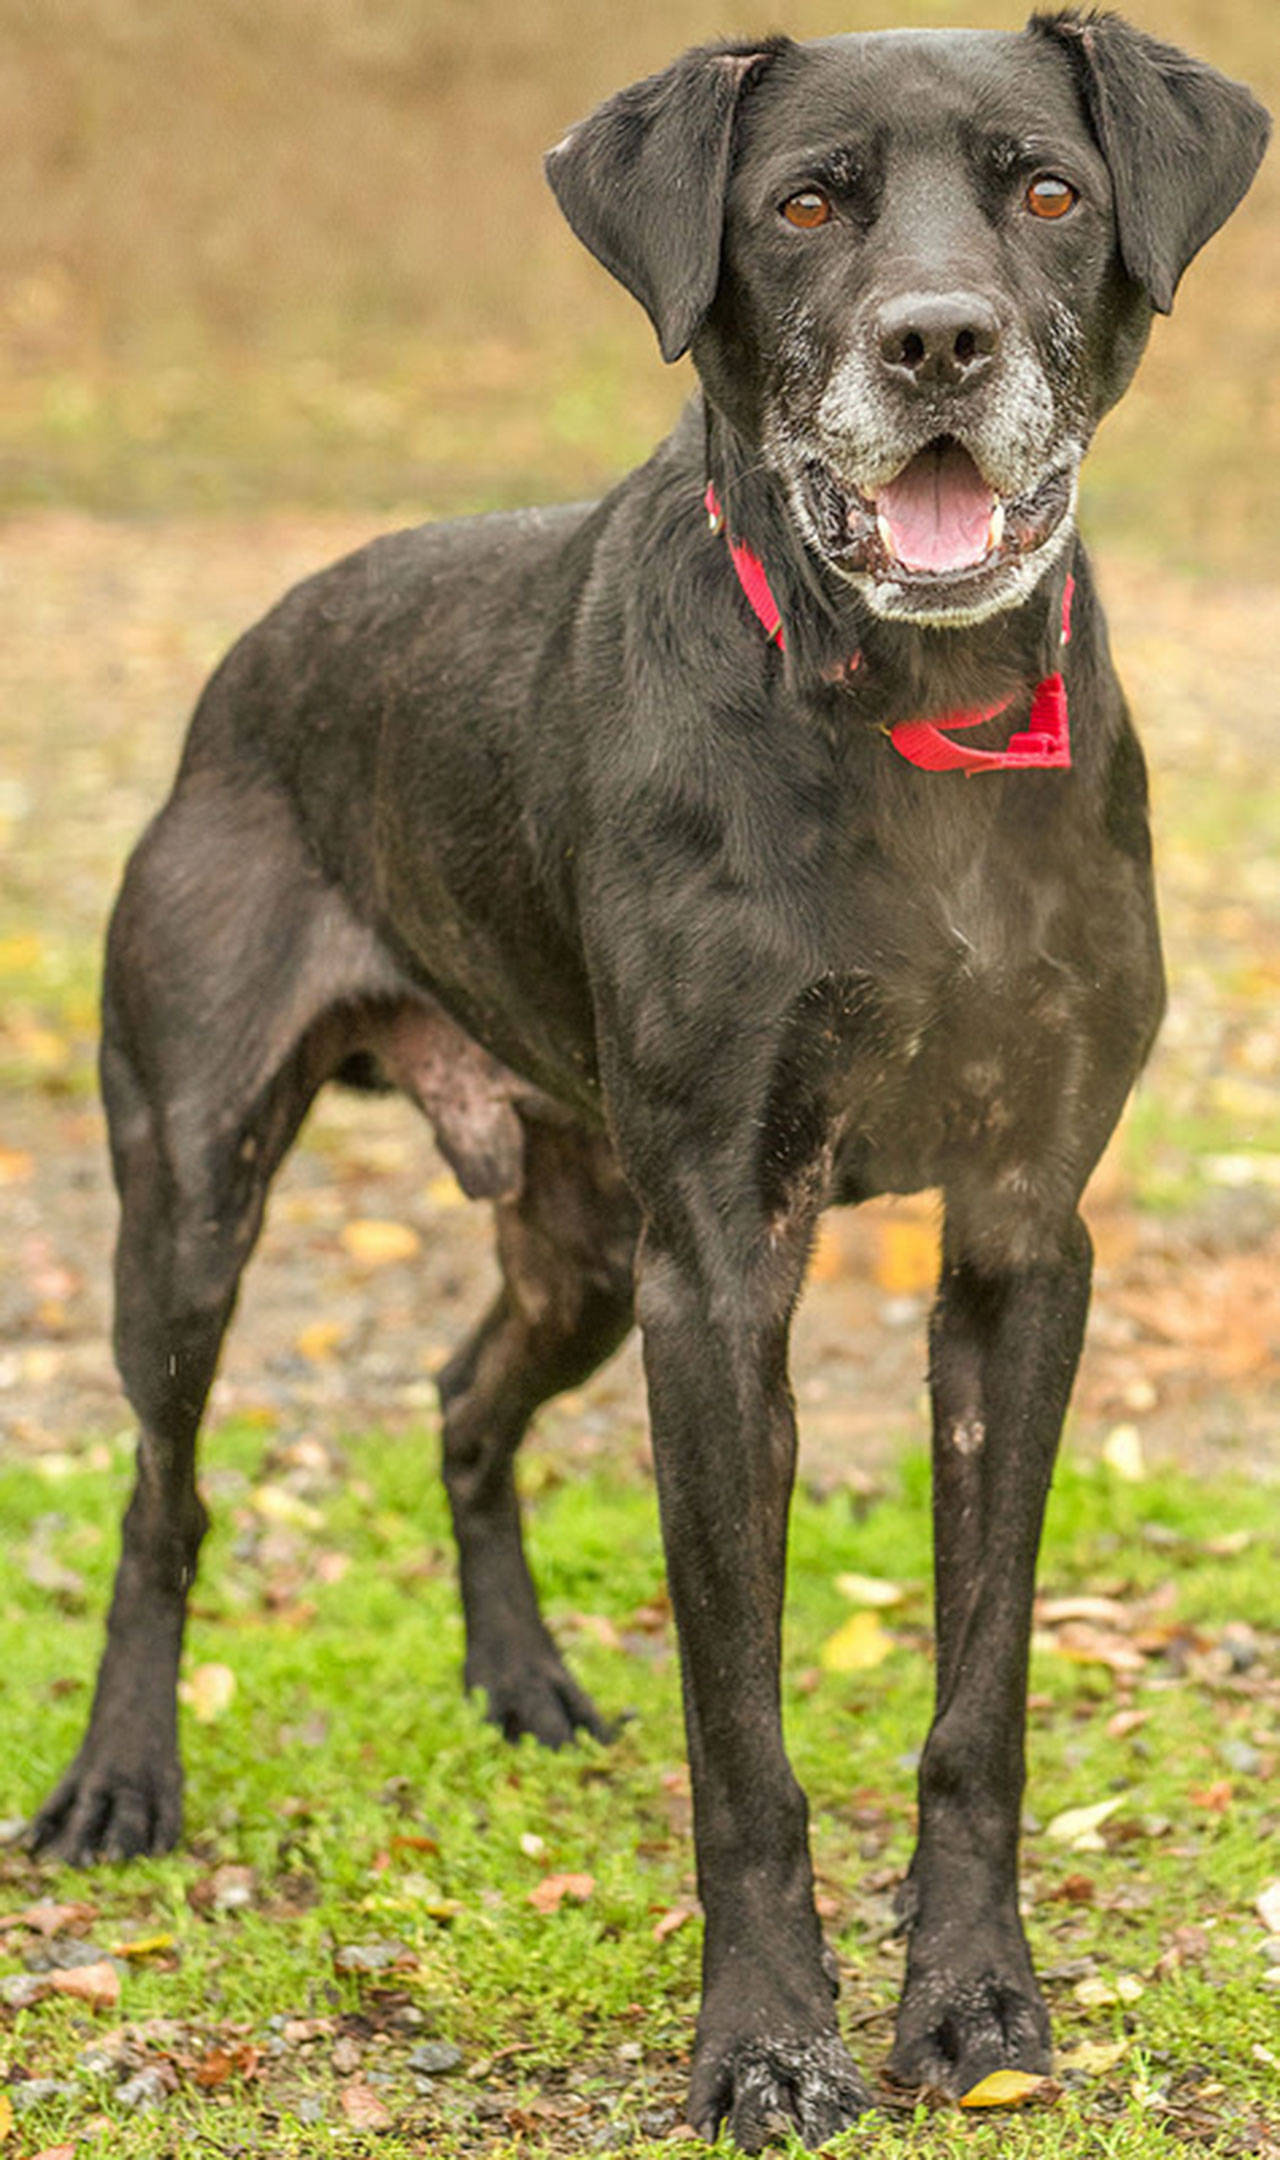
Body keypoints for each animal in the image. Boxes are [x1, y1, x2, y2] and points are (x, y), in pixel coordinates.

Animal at [29, 8, 1269, 2151]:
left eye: (1050, 188)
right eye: (804, 206)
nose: (937, 344)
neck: (912, 719)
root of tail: (254, 650)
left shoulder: (1021, 1246)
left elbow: (980, 1702)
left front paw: (978, 2008)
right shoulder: (720, 1270)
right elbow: (743, 1742)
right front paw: (768, 2040)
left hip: (578, 1245)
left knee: (461, 1404)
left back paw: (520, 1685)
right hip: (194, 1198)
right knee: (163, 1499)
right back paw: (120, 1784)